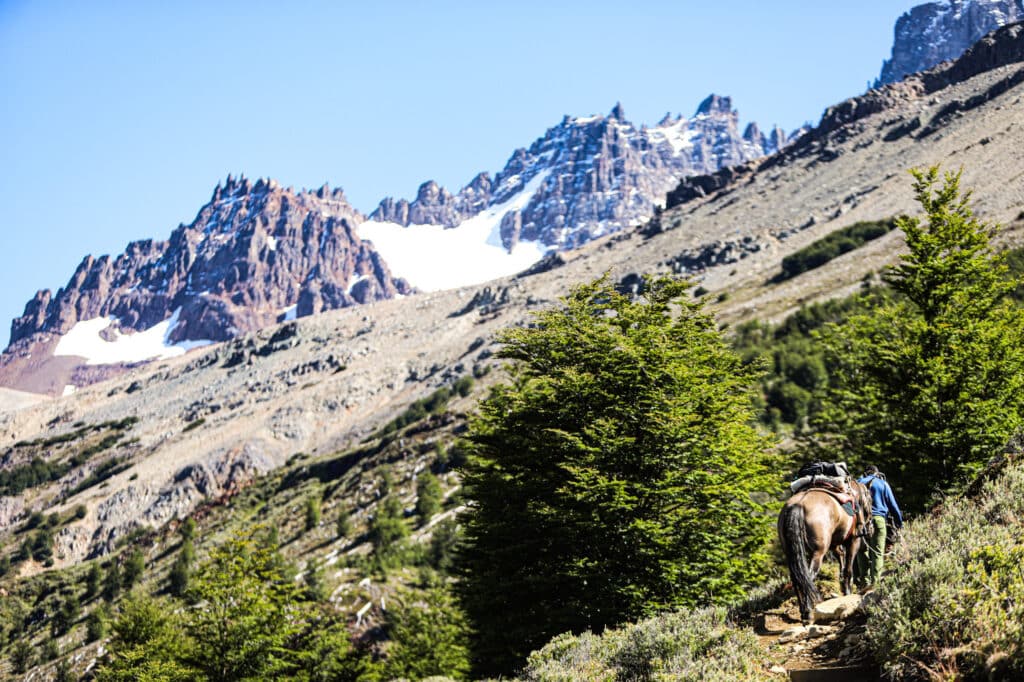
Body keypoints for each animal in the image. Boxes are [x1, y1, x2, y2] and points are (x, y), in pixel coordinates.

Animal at [774, 477, 872, 622]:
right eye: (870, 499)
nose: (870, 529)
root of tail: (798, 505)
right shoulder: (854, 541)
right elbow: (848, 569)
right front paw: (847, 591)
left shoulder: (834, 544)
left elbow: (840, 557)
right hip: (818, 553)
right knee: (808, 576)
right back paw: (808, 612)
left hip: (792, 552)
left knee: (797, 578)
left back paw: (803, 610)